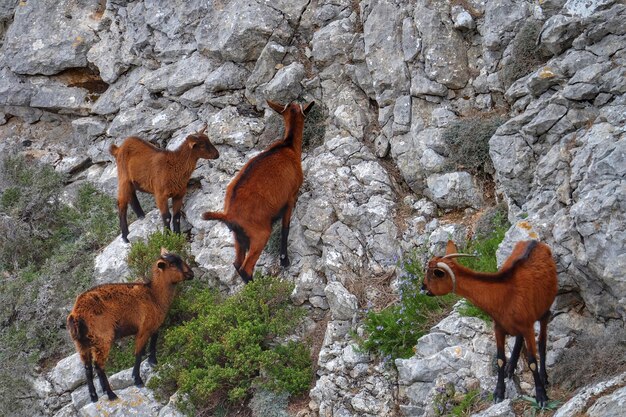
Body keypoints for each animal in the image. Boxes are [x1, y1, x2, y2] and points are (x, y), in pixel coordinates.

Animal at [65, 247, 193, 400]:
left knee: (87, 367)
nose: (191, 273)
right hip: (102, 338)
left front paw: (153, 361)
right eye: (173, 264)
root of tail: (76, 314)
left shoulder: (154, 324)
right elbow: (138, 353)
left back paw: (94, 396)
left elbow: (154, 340)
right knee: (98, 366)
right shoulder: (144, 328)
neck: (154, 295)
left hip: (81, 343)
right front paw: (137, 379)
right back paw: (110, 393)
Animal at [202, 100, 314, 282]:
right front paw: (284, 260)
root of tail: (228, 215)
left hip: (238, 238)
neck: (288, 146)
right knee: (245, 268)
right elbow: (285, 228)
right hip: (259, 235)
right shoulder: (290, 197)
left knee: (236, 263)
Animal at [420, 240, 556, 406]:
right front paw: (499, 392)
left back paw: (544, 377)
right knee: (519, 338)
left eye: (432, 275)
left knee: (542, 342)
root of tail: (535, 242)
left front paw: (541, 396)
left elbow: (532, 362)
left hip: (544, 311)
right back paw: (511, 368)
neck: (504, 295)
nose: (423, 286)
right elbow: (500, 360)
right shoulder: (498, 327)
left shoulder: (527, 327)